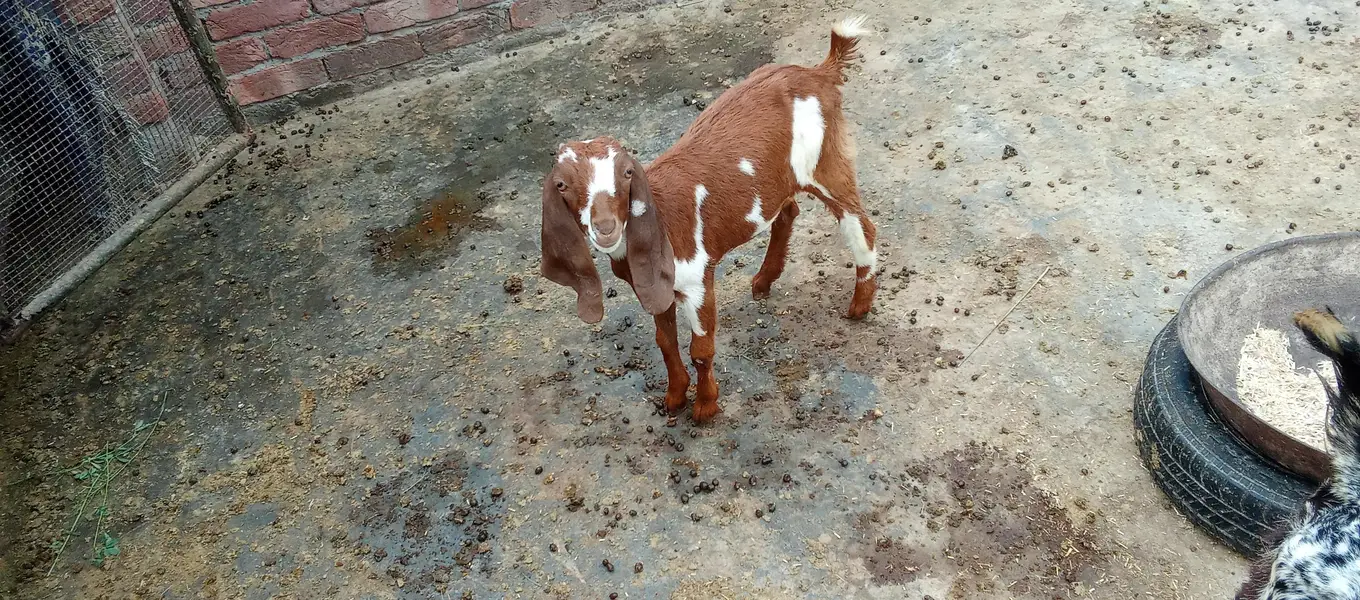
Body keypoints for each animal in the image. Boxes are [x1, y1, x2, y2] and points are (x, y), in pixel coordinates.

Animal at [539, 16, 879, 424]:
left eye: (626, 175)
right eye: (561, 184)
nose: (606, 227)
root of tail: (819, 73)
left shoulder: (698, 278)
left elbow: (700, 348)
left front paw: (705, 407)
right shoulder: (653, 286)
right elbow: (665, 342)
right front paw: (674, 397)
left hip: (825, 161)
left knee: (860, 223)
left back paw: (859, 306)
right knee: (787, 212)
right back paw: (764, 280)